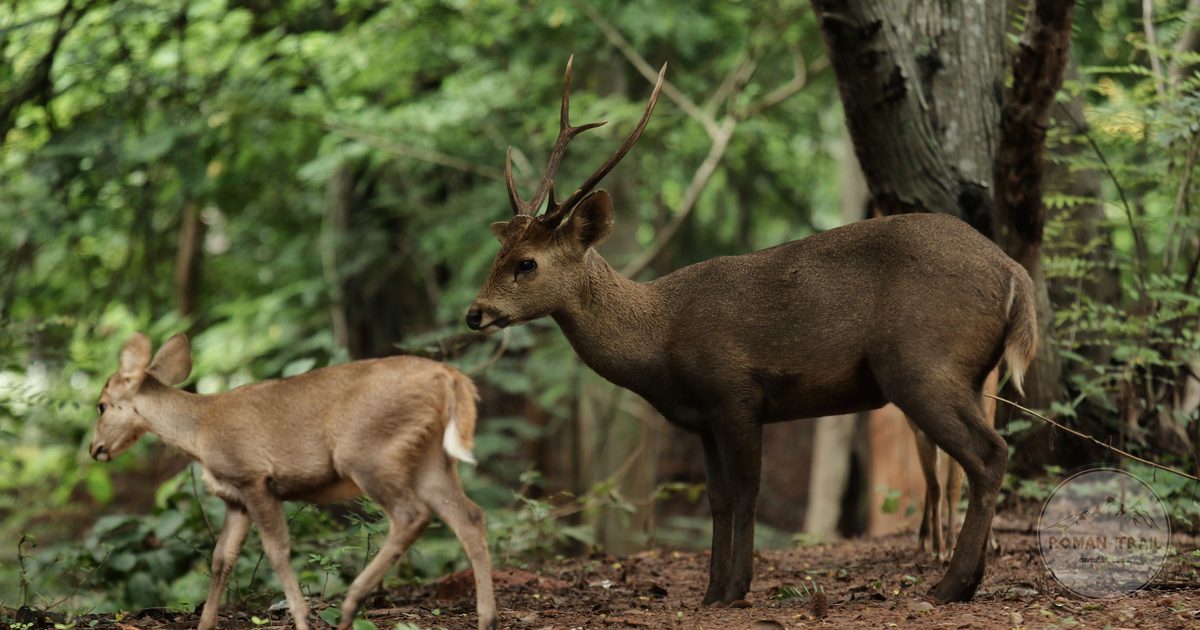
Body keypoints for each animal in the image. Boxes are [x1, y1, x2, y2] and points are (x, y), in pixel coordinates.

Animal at [88, 333, 497, 630]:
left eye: (101, 404)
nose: (95, 449)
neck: (198, 432)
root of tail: (451, 378)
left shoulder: (254, 476)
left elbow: (277, 551)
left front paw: (301, 619)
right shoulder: (235, 496)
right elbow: (221, 558)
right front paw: (205, 625)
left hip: (369, 451)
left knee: (412, 514)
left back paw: (350, 606)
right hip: (431, 459)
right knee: (470, 516)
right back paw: (487, 619)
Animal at [465, 58, 1037, 605]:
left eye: (527, 263)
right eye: (498, 253)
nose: (475, 313)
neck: (660, 342)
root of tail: (1014, 273)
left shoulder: (735, 391)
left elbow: (746, 490)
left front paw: (736, 588)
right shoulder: (703, 418)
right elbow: (718, 497)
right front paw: (712, 591)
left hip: (923, 362)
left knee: (988, 454)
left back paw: (950, 586)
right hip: (967, 373)